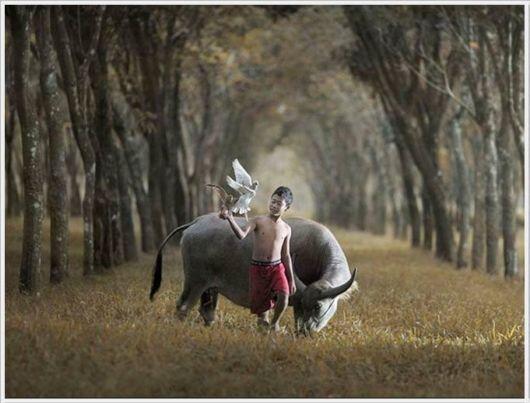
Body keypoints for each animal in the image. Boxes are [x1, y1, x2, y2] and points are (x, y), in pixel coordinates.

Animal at [148, 215, 356, 334]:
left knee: (206, 310)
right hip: (195, 282)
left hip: (210, 287)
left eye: (318, 306)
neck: (315, 251)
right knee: (183, 306)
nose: (305, 332)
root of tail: (196, 222)